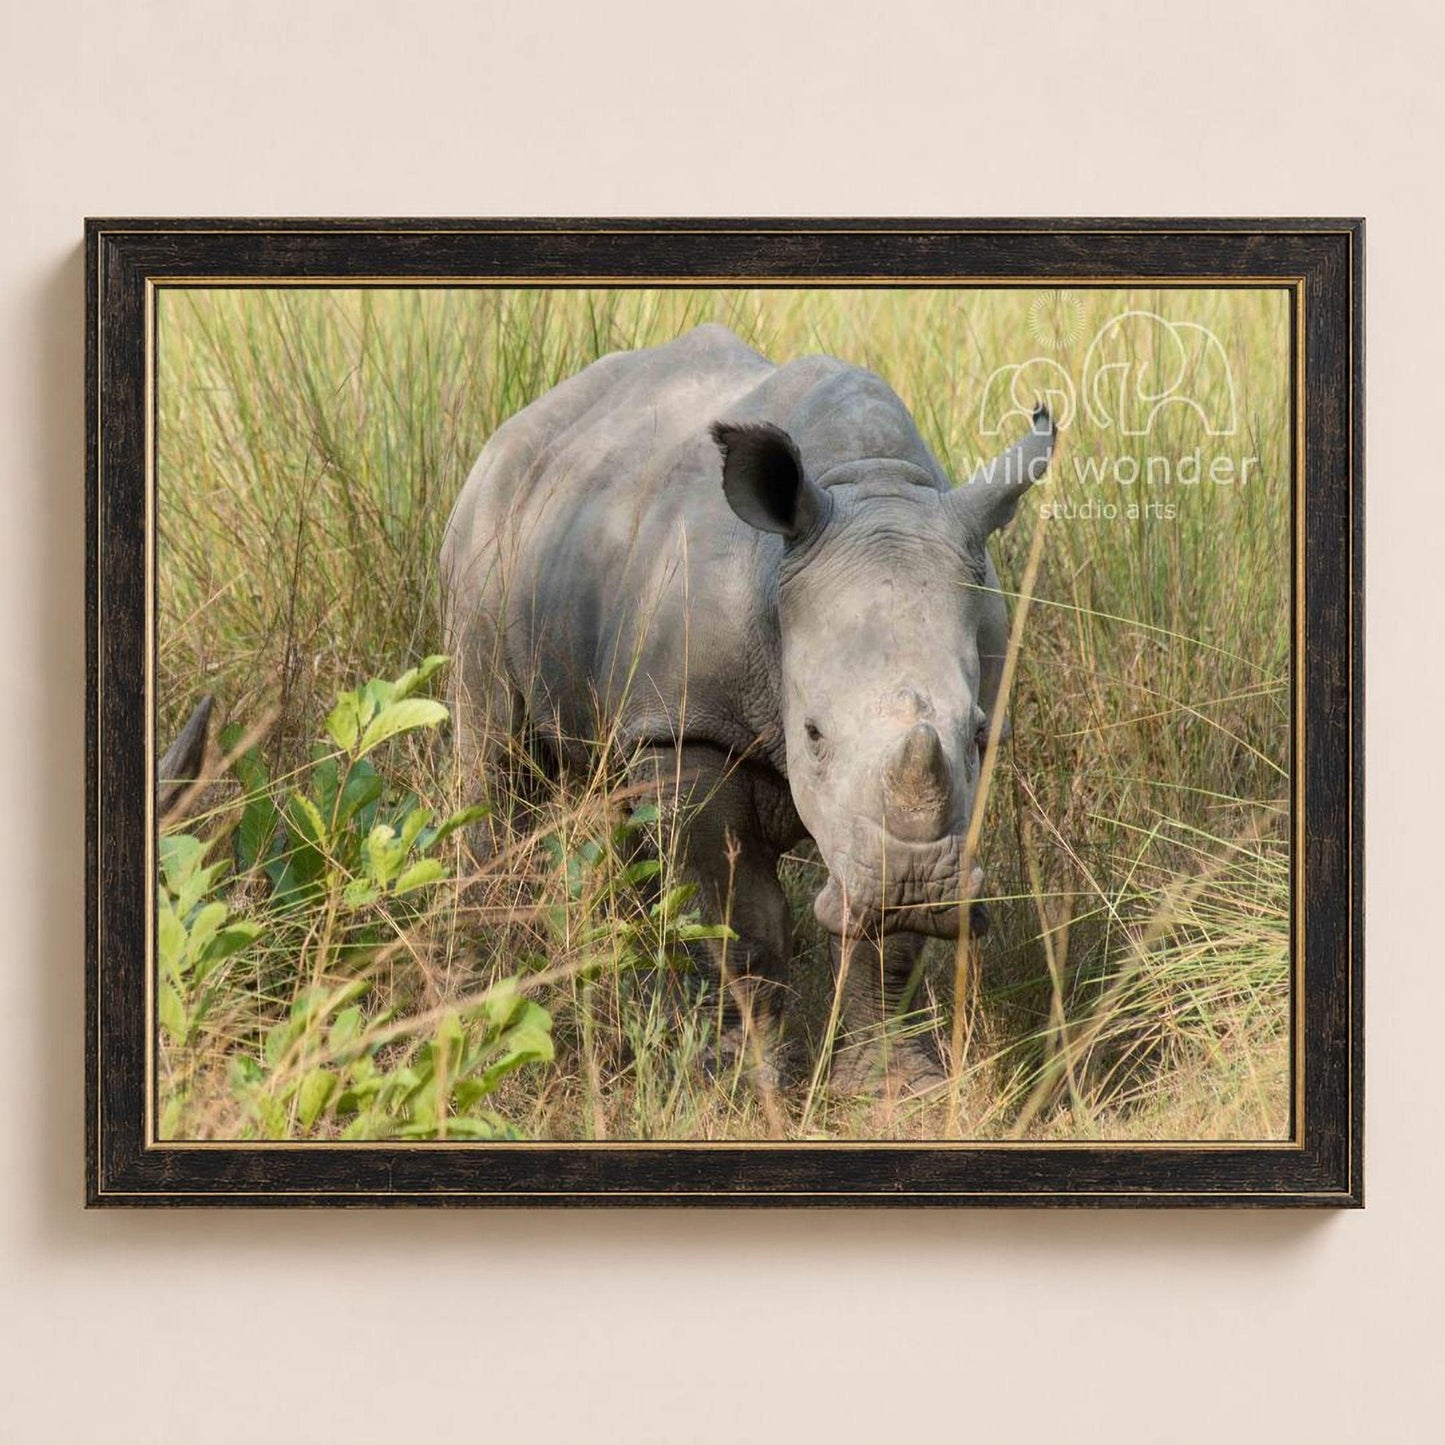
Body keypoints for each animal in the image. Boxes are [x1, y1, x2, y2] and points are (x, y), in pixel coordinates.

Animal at [441, 323, 1053, 1091]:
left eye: (975, 732)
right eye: (812, 734)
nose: (912, 885)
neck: (867, 485)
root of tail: (520, 425)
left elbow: (884, 941)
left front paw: (895, 1087)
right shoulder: (689, 729)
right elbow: (736, 916)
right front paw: (740, 1082)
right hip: (484, 535)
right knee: (492, 759)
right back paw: (488, 970)